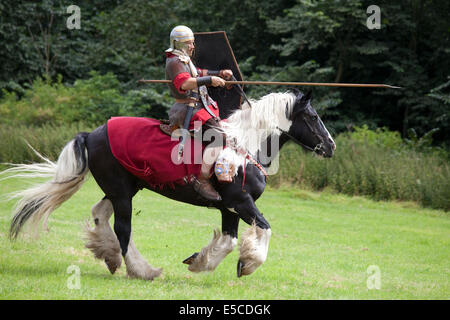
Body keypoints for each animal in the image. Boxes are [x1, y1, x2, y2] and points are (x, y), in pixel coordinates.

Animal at [2, 90, 334, 280]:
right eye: (313, 116)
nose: (330, 146)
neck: (245, 146)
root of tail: (91, 133)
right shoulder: (241, 203)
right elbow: (264, 229)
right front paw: (249, 264)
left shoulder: (228, 208)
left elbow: (228, 241)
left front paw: (199, 262)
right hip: (122, 193)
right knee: (123, 228)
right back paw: (142, 270)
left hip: (123, 188)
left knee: (100, 213)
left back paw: (109, 255)